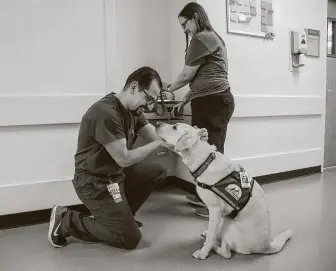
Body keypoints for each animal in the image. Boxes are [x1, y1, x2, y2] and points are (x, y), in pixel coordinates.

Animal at [155, 122, 292, 260]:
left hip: (228, 223)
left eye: (175, 127)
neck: (205, 162)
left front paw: (203, 252)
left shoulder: (215, 210)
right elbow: (212, 231)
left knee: (227, 253)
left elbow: (211, 235)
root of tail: (267, 246)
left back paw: (215, 246)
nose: (157, 123)